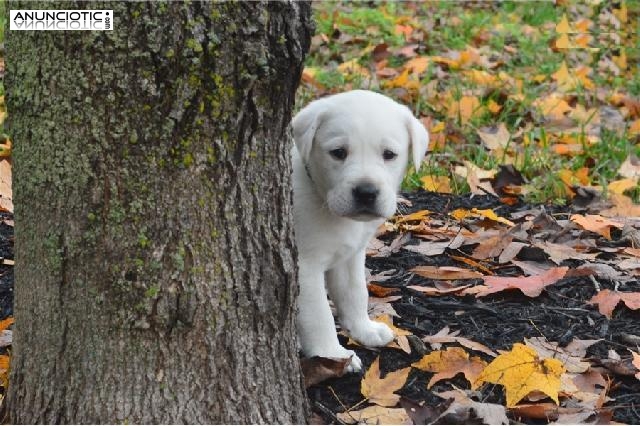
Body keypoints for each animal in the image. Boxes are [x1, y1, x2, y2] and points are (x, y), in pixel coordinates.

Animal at [292, 90, 428, 372]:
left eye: (389, 154)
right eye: (338, 153)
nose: (366, 192)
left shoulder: (349, 257)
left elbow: (355, 293)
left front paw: (364, 330)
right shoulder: (305, 267)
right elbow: (319, 315)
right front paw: (333, 356)